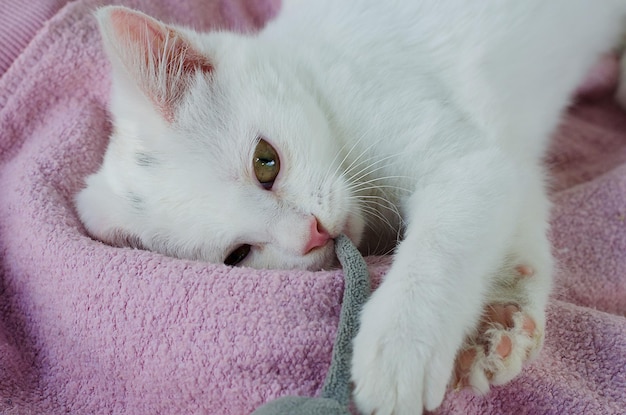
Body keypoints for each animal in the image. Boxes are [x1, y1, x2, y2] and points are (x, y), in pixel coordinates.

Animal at [75, 1, 624, 414]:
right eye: (238, 255)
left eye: (265, 162)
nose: (311, 232)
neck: (325, 94)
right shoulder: (505, 164)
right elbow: (520, 207)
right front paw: (501, 320)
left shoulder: (468, 159)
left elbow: (446, 239)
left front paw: (400, 346)